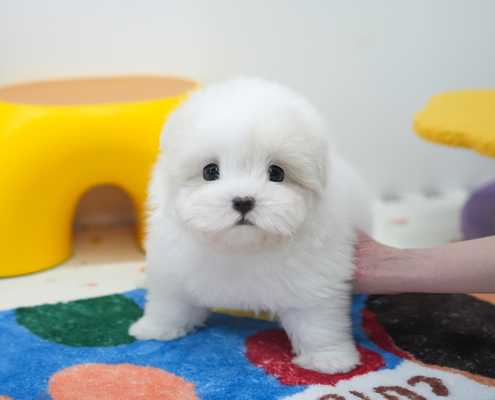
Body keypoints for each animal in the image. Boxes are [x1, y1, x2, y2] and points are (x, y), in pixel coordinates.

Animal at [129, 77, 372, 374]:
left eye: (276, 173)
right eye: (210, 171)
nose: (243, 201)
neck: (242, 247)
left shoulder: (316, 277)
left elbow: (318, 321)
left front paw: (330, 359)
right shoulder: (172, 265)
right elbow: (169, 302)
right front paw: (156, 328)